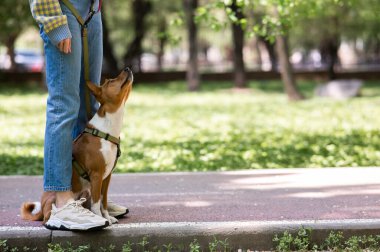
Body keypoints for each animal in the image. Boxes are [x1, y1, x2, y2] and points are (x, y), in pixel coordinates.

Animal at [21, 66, 134, 224]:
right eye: (111, 81)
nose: (127, 68)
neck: (106, 130)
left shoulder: (107, 177)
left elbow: (104, 202)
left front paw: (107, 217)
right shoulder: (96, 176)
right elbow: (96, 204)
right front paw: (101, 220)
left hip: (85, 193)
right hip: (56, 199)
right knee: (47, 218)